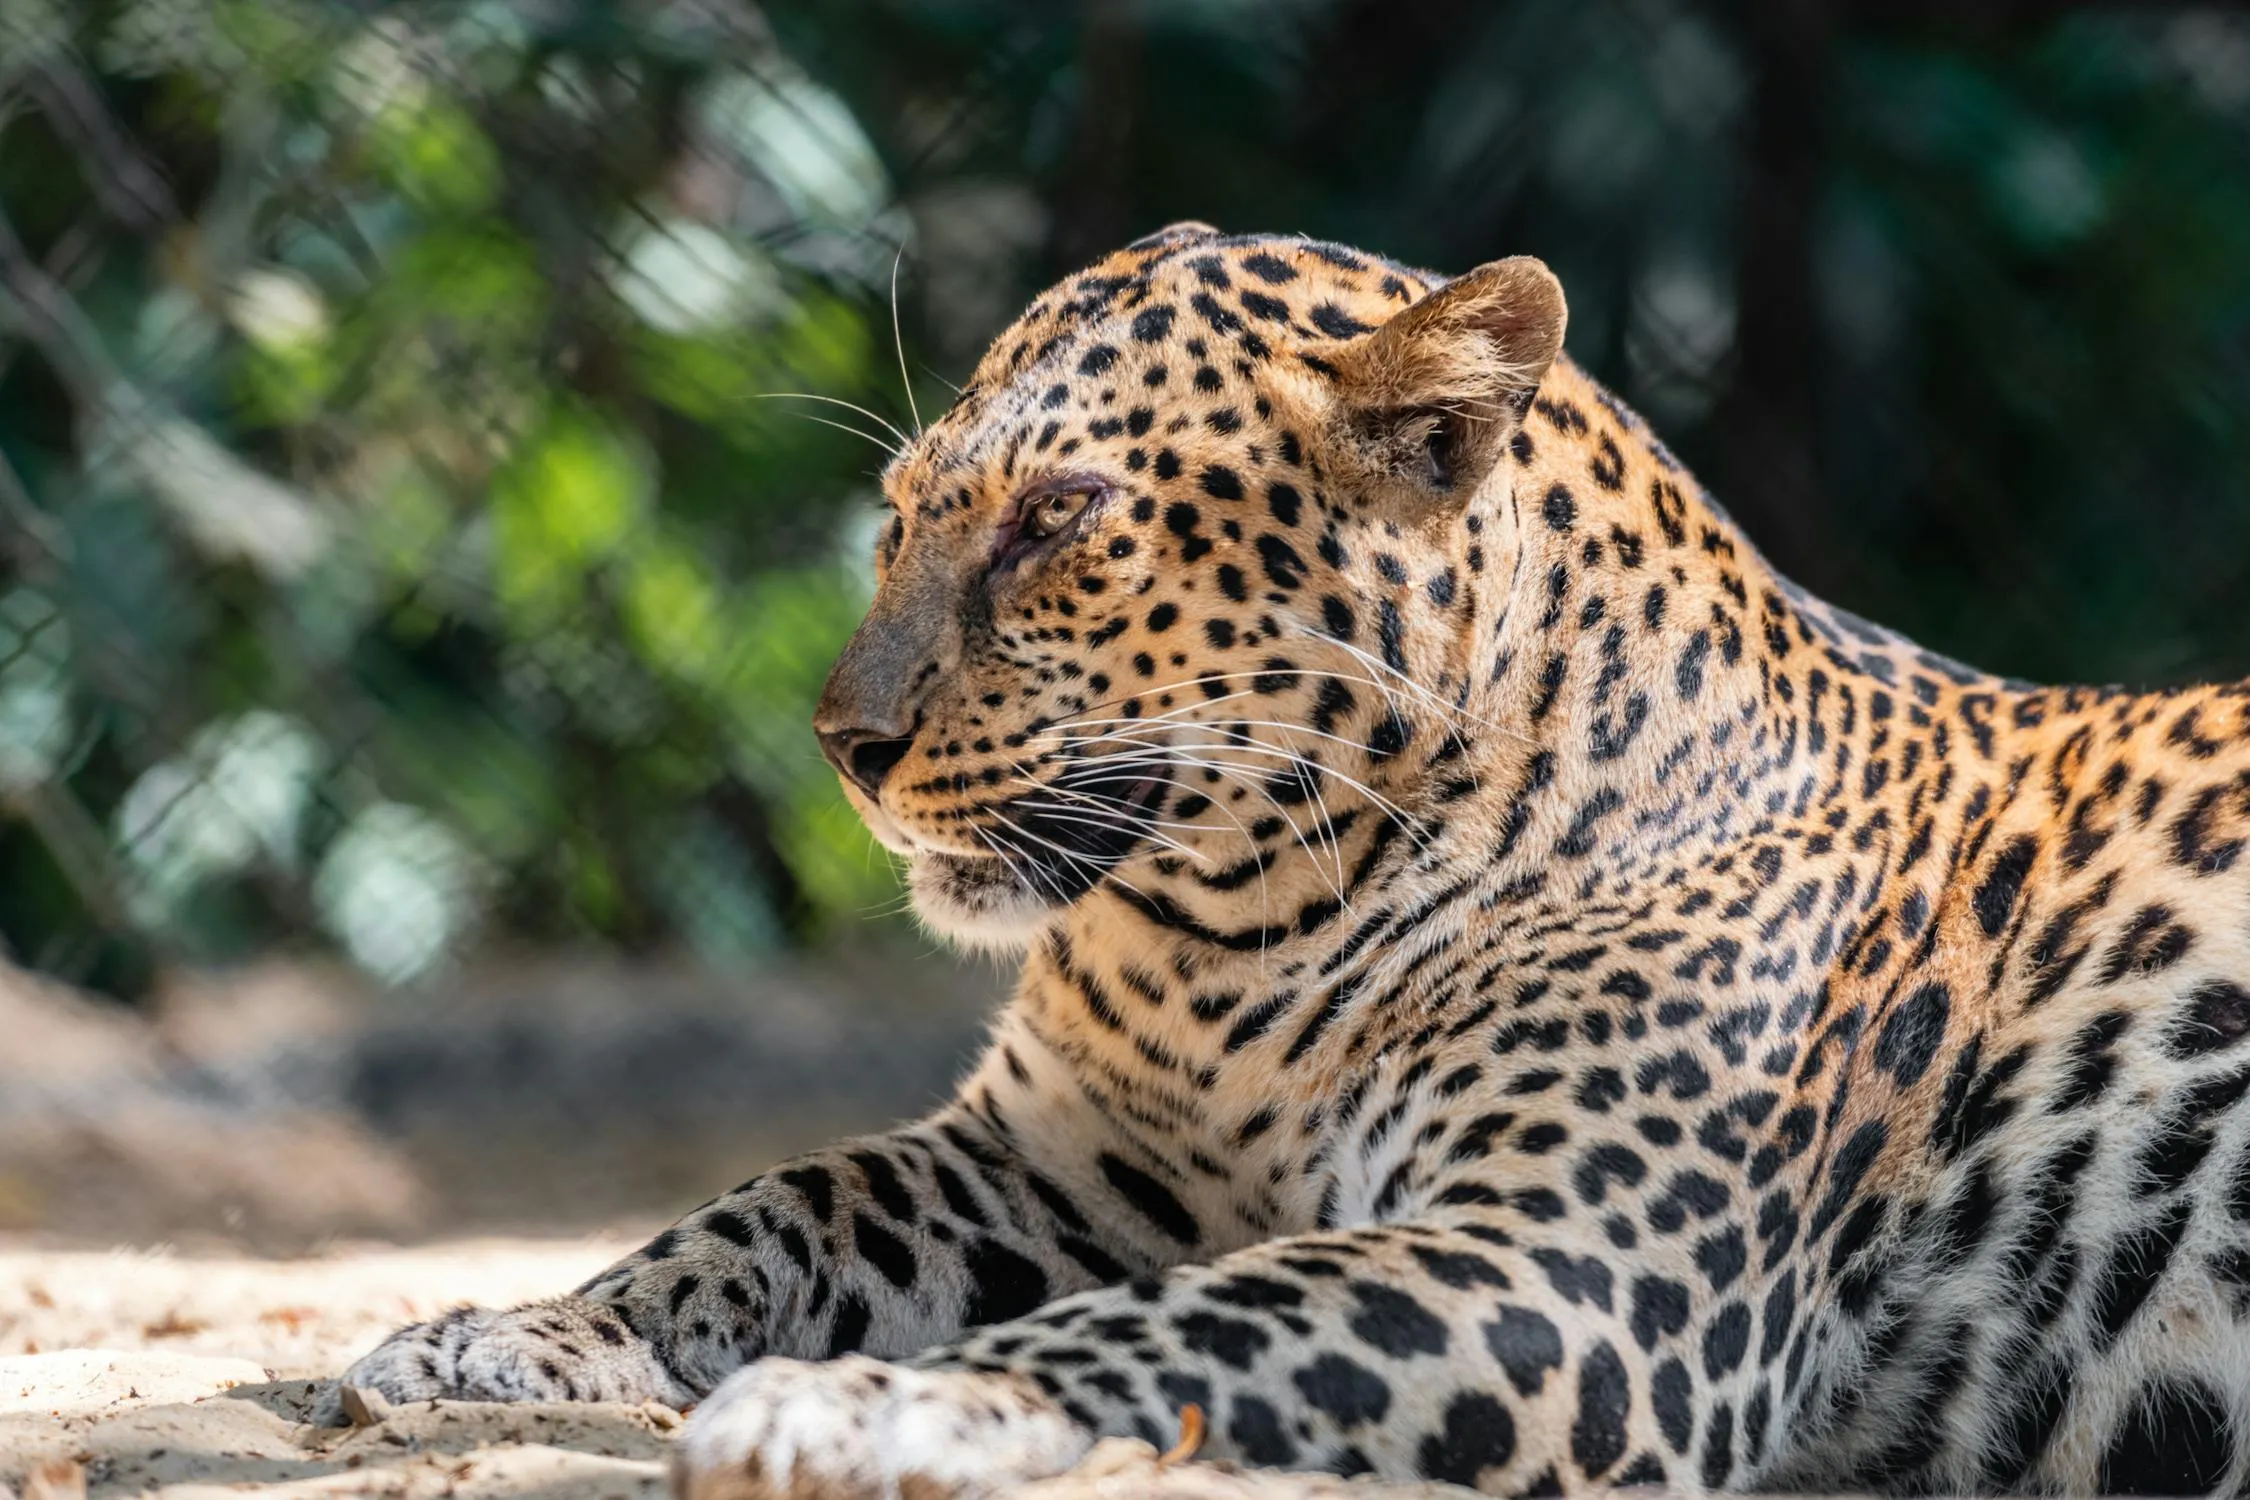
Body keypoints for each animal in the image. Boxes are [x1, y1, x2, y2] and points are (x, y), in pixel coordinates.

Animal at [335, 222, 2250, 1499]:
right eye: (898, 520)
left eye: (1057, 520)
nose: (841, 745)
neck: (1238, 936)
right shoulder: (1058, 1166)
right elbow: (781, 1203)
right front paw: (506, 1335)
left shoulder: (1569, 1272)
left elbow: (1205, 1319)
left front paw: (880, 1406)